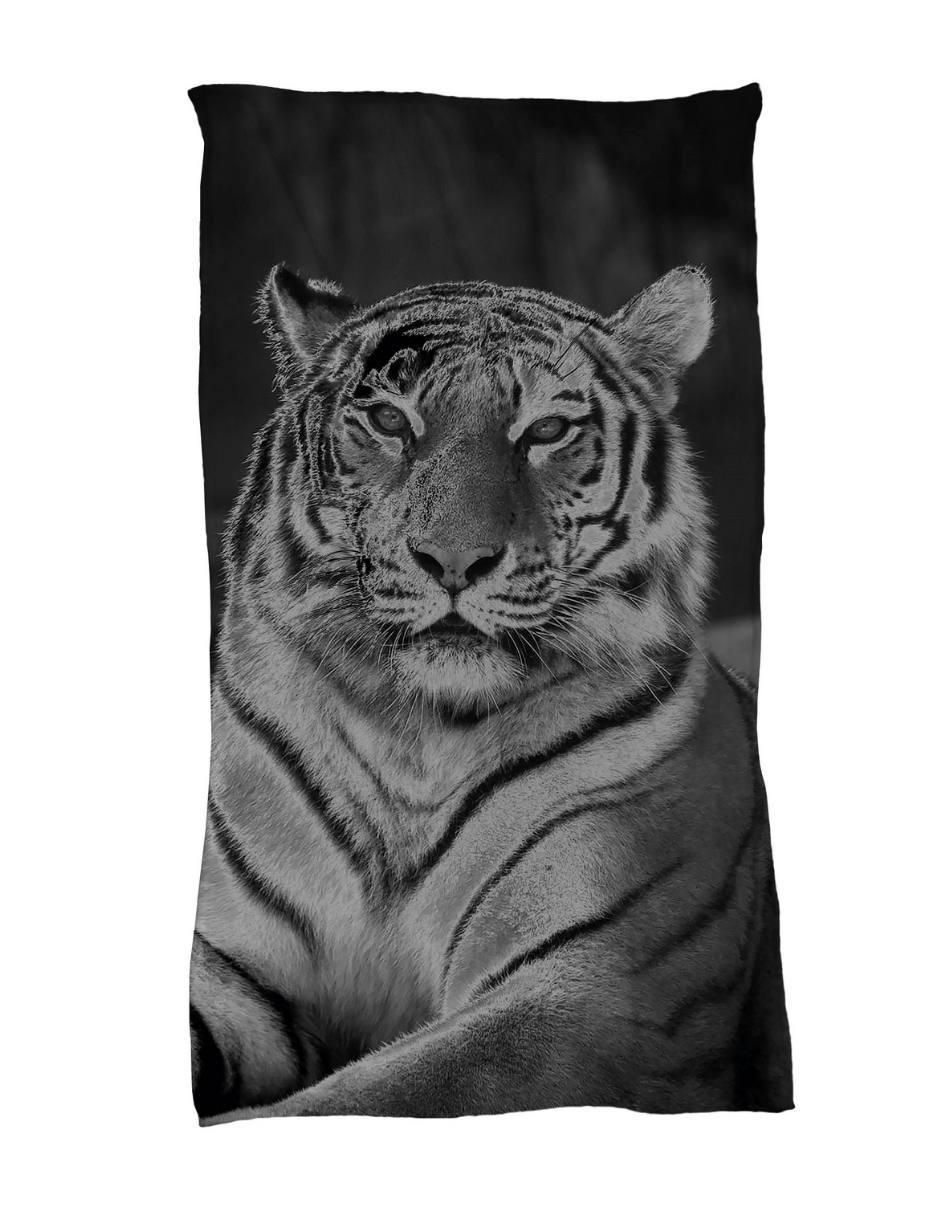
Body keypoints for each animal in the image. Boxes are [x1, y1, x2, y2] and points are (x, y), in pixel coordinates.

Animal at [190, 263, 793, 1122]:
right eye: (388, 420)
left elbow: (374, 1095)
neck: (413, 734)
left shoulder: (596, 988)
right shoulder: (228, 962)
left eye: (545, 431)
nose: (454, 560)